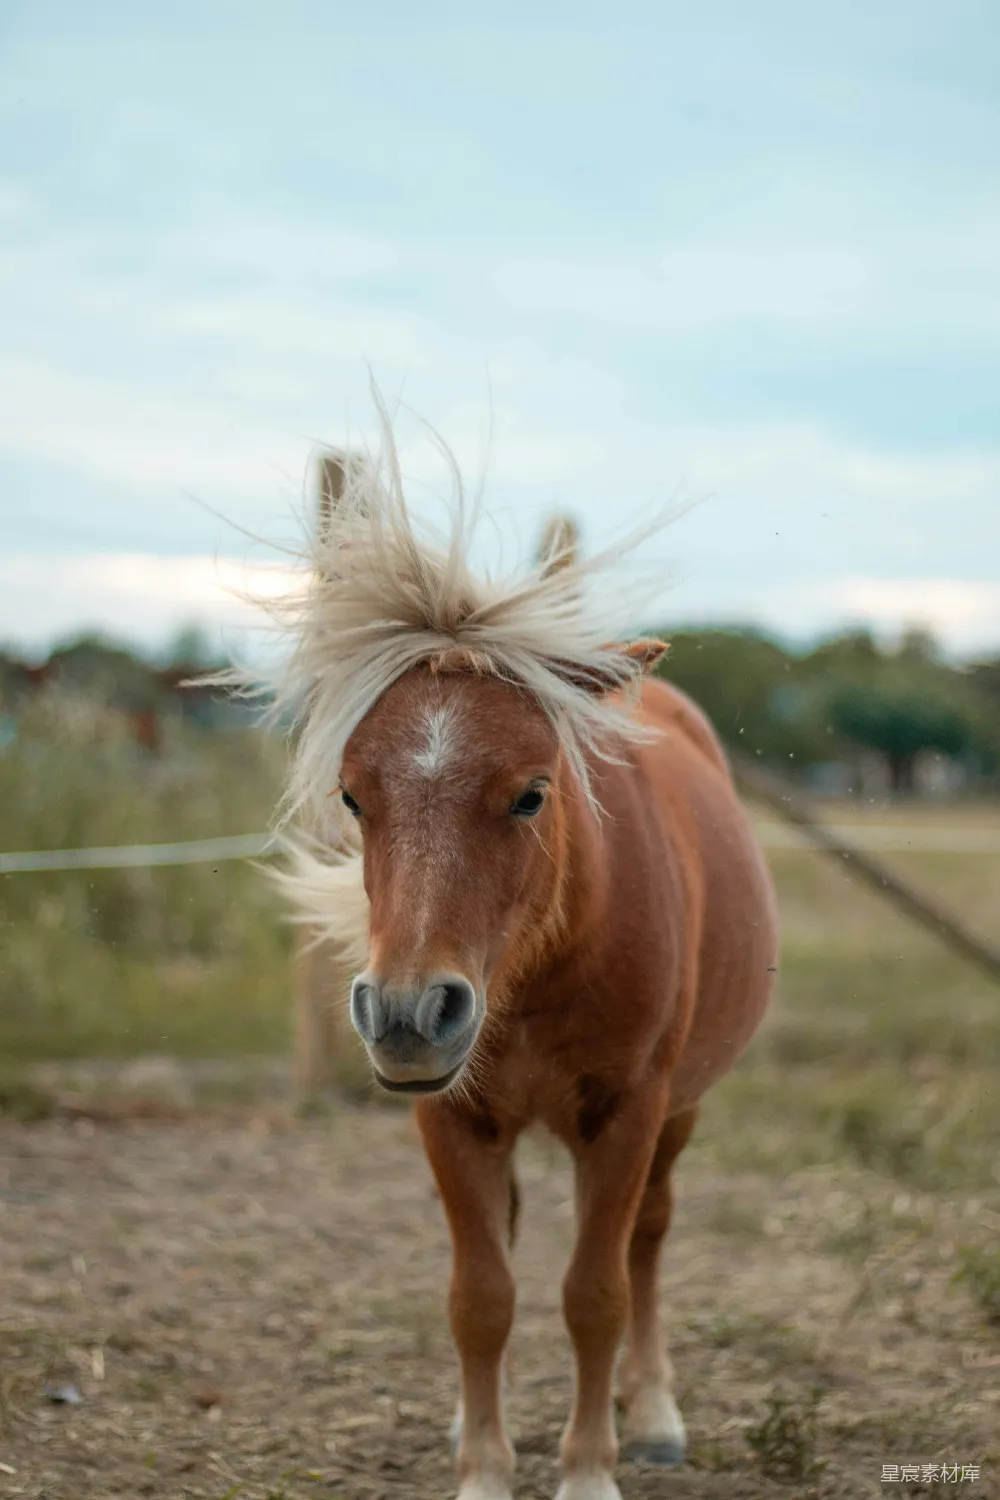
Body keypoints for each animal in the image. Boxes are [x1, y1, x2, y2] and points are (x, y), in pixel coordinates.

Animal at [263, 429, 779, 1500]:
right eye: (353, 796)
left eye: (533, 793)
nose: (408, 1015)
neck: (543, 969)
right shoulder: (452, 1120)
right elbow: (481, 1298)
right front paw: (482, 1468)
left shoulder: (626, 1117)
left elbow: (596, 1293)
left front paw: (589, 1470)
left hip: (681, 1111)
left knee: (651, 1239)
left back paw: (652, 1413)